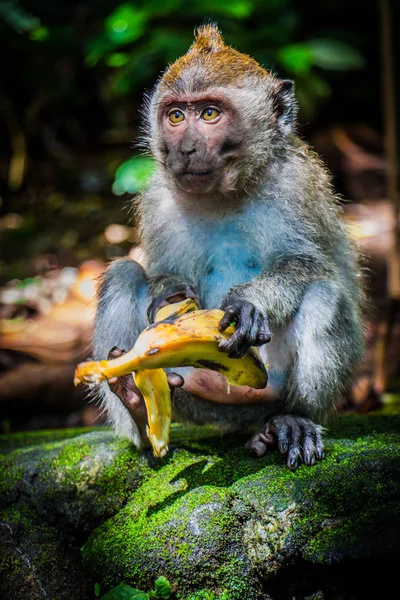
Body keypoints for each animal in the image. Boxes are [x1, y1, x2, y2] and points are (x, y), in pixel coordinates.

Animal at [91, 24, 366, 468]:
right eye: (176, 115)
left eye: (209, 114)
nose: (185, 149)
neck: (224, 194)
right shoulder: (156, 197)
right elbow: (160, 271)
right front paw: (169, 292)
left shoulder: (298, 185)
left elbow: (306, 262)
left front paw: (248, 303)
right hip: (192, 396)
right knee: (123, 273)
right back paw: (137, 410)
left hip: (269, 391)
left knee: (324, 292)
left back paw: (292, 420)